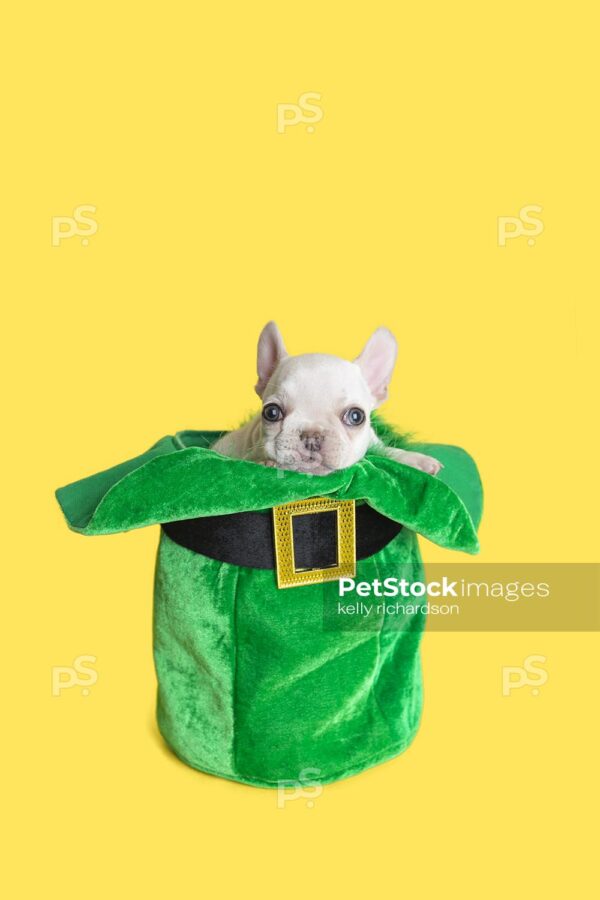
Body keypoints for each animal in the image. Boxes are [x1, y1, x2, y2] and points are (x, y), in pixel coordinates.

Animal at [213, 324, 442, 478]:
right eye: (272, 412)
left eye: (356, 416)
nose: (311, 436)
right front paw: (266, 462)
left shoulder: (372, 438)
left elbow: (386, 449)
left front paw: (415, 460)